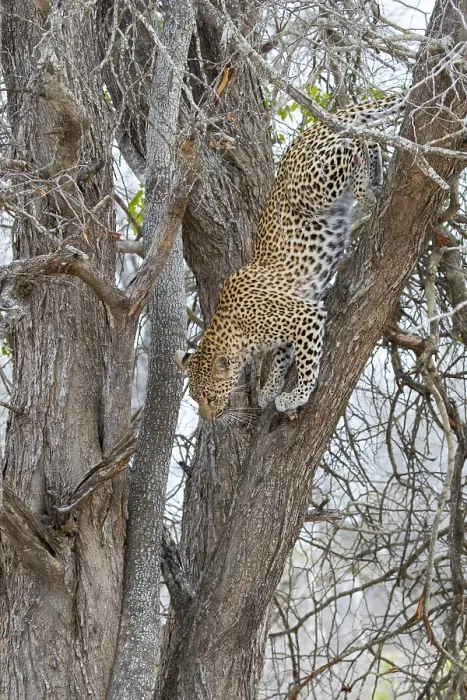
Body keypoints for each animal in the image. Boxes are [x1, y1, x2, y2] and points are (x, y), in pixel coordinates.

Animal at [176, 95, 405, 421]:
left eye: (209, 396)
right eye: (195, 398)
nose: (208, 418)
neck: (235, 331)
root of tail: (309, 130)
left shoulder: (306, 316)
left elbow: (308, 363)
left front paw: (296, 395)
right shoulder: (286, 330)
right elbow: (281, 359)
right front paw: (270, 390)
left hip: (311, 187)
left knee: (353, 142)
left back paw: (364, 185)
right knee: (367, 138)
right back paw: (372, 181)